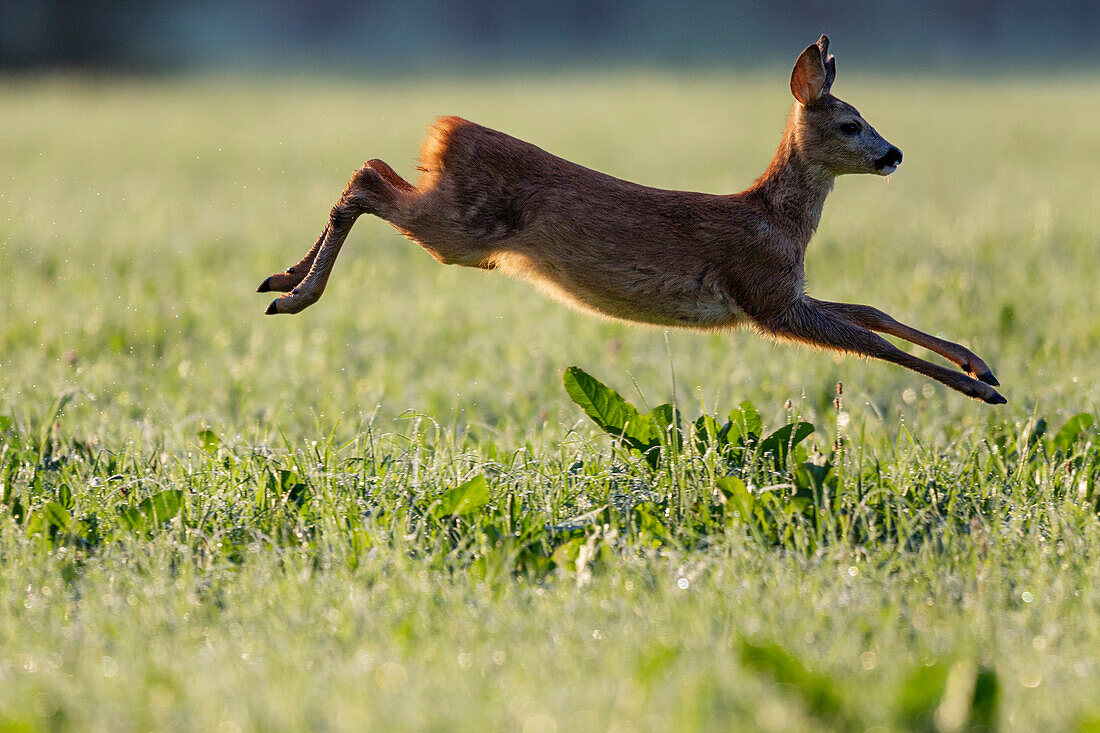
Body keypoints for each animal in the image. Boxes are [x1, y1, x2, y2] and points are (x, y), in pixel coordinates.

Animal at [255, 35, 1007, 400]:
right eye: (851, 124)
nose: (894, 154)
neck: (776, 220)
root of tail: (446, 131)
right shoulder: (765, 296)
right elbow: (871, 342)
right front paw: (980, 393)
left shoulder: (780, 289)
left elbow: (872, 311)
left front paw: (980, 365)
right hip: (460, 230)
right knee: (366, 178)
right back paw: (292, 293)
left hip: (456, 222)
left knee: (372, 168)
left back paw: (281, 280)